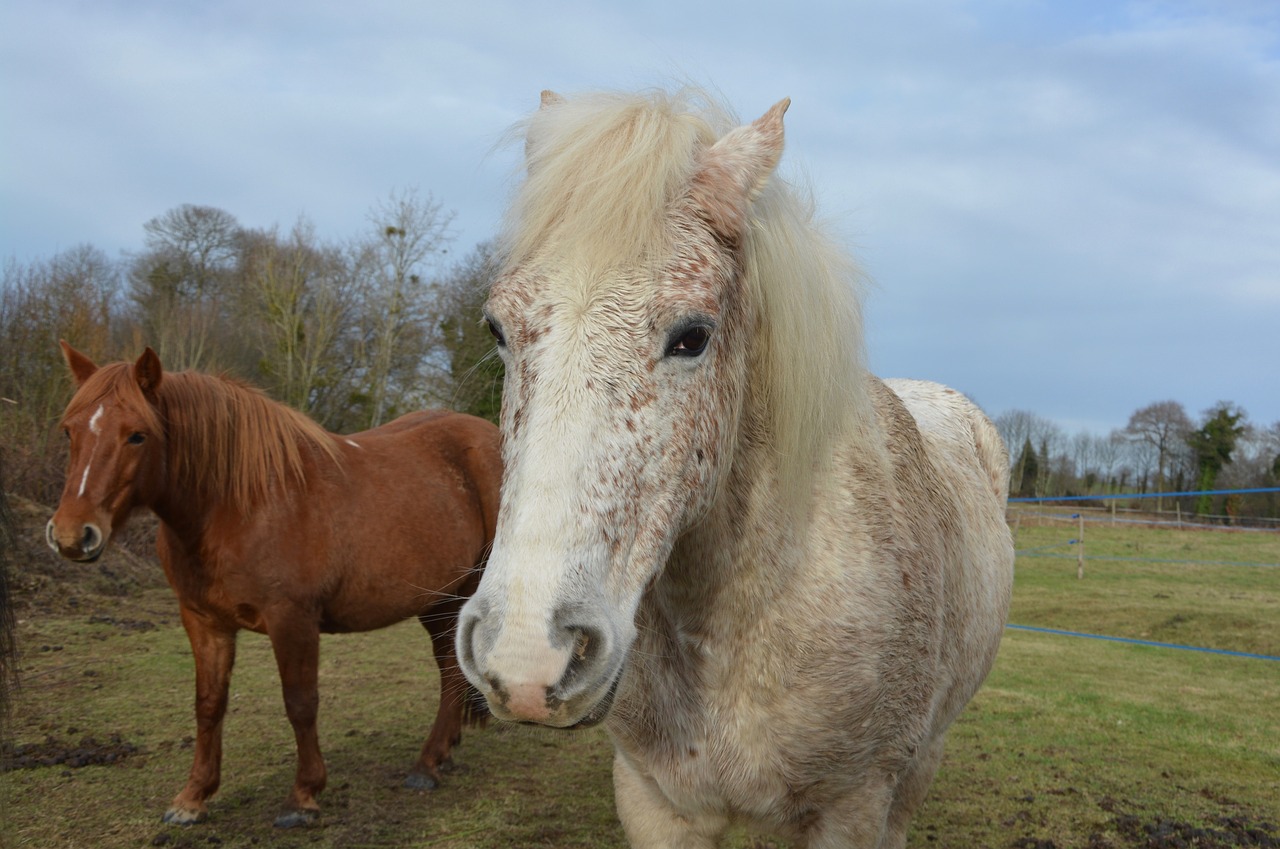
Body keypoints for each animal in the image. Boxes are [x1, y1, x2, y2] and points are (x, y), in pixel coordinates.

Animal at [45, 343, 504, 824]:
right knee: (449, 667)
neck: (239, 505)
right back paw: (437, 757)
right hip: (439, 599)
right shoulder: (203, 621)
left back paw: (427, 763)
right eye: (69, 431)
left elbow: (300, 703)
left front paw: (302, 795)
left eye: (137, 435)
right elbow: (208, 704)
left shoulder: (292, 619)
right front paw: (192, 797)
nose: (72, 535)